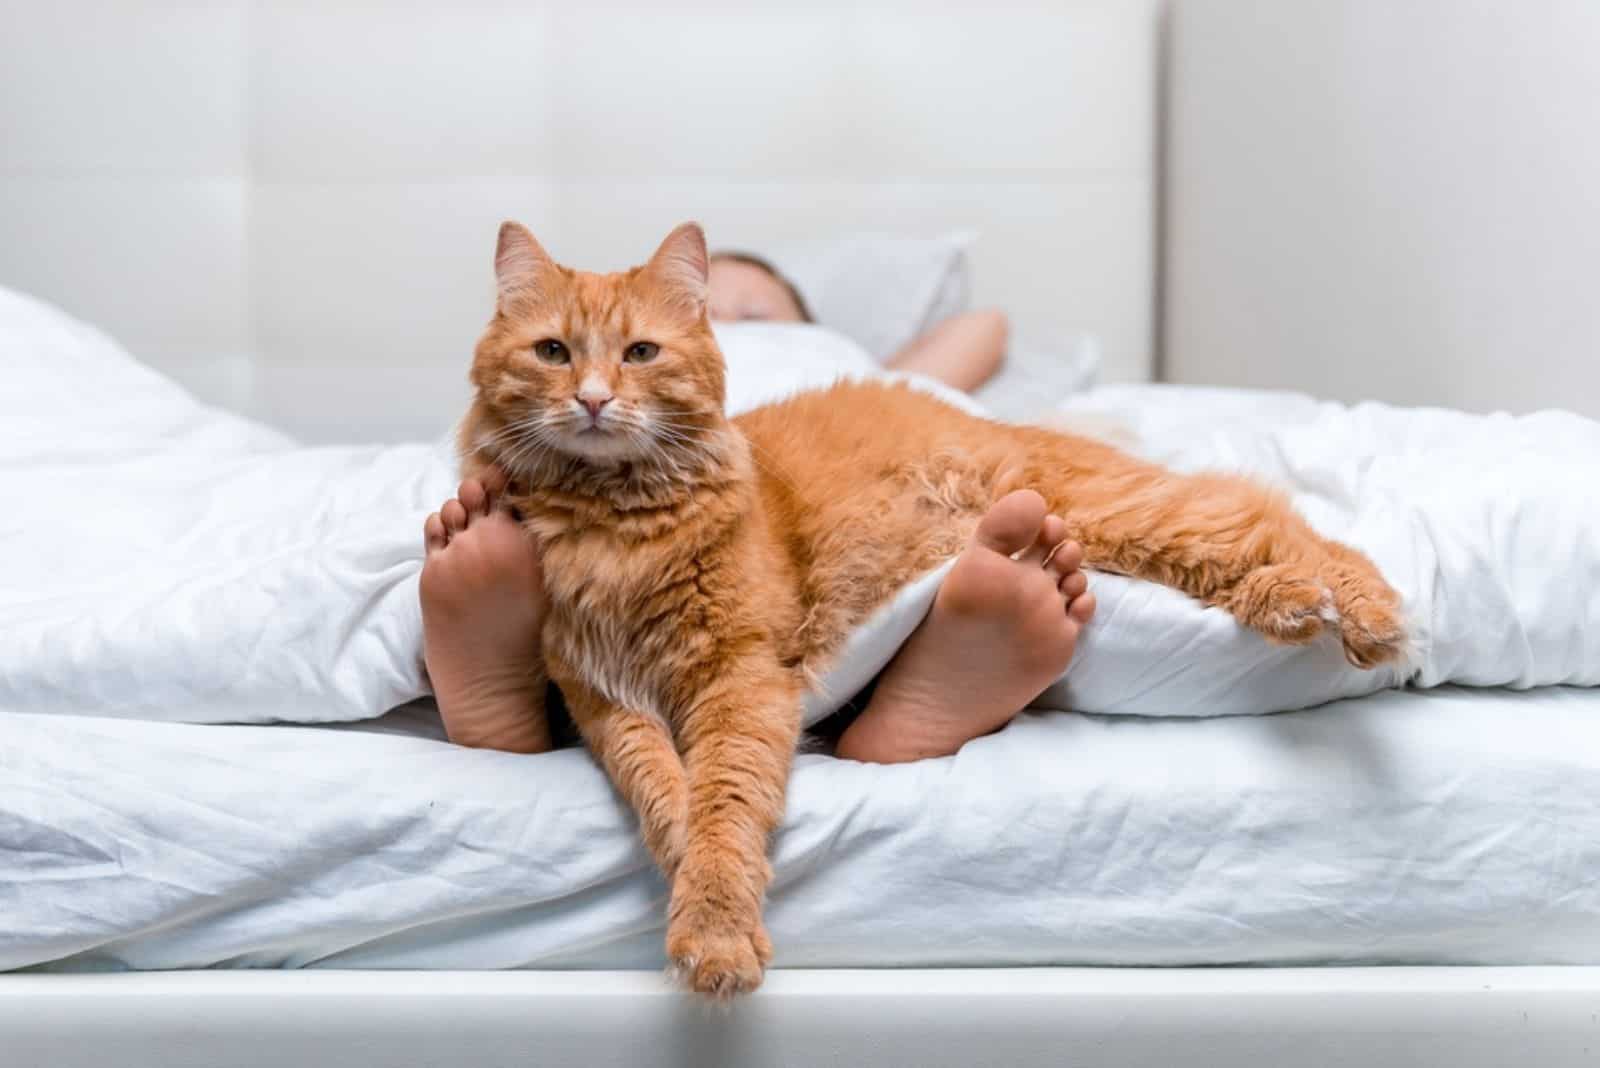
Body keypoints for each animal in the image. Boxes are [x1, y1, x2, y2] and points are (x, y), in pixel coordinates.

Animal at [457, 220, 1408, 997]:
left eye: (642, 353)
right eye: (553, 352)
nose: (592, 398)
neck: (616, 527)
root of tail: (989, 425)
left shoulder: (742, 676)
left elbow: (725, 800)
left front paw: (717, 924)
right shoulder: (602, 694)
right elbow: (663, 790)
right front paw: (688, 868)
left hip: (1111, 512)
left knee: (1268, 517)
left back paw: (1366, 615)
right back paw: (1284, 607)